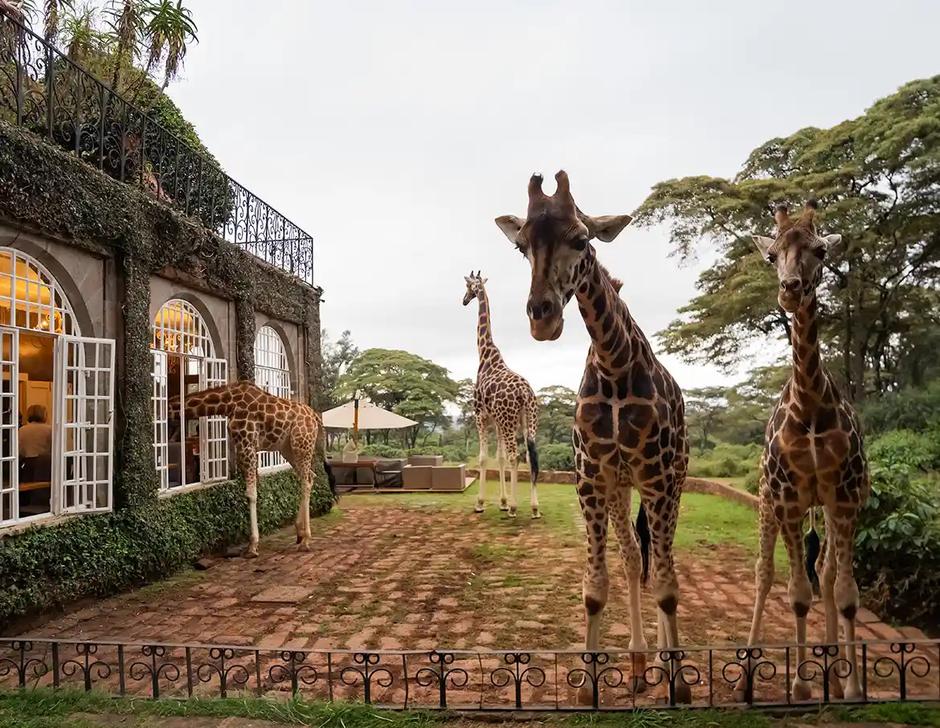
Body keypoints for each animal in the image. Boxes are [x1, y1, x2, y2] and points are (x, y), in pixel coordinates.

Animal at [175, 381, 328, 558]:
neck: (228, 403)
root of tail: (315, 417)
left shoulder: (246, 444)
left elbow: (251, 494)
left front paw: (253, 546)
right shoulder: (244, 446)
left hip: (301, 444)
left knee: (306, 479)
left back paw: (305, 540)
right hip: (288, 448)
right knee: (310, 476)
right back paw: (299, 533)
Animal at [462, 271, 541, 518]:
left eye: (468, 287)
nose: (464, 300)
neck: (485, 354)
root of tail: (525, 393)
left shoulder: (480, 415)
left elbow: (484, 458)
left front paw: (480, 503)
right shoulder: (496, 420)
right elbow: (500, 457)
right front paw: (503, 502)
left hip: (509, 421)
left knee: (516, 456)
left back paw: (516, 507)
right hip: (528, 421)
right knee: (530, 456)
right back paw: (534, 507)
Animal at [495, 171, 688, 699]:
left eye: (581, 239)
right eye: (520, 246)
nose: (542, 319)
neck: (614, 363)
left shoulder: (658, 479)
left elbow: (668, 588)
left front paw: (680, 686)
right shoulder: (592, 479)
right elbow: (595, 589)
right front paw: (587, 685)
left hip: (673, 482)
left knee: (661, 562)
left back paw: (664, 662)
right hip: (622, 488)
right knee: (635, 558)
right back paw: (640, 664)